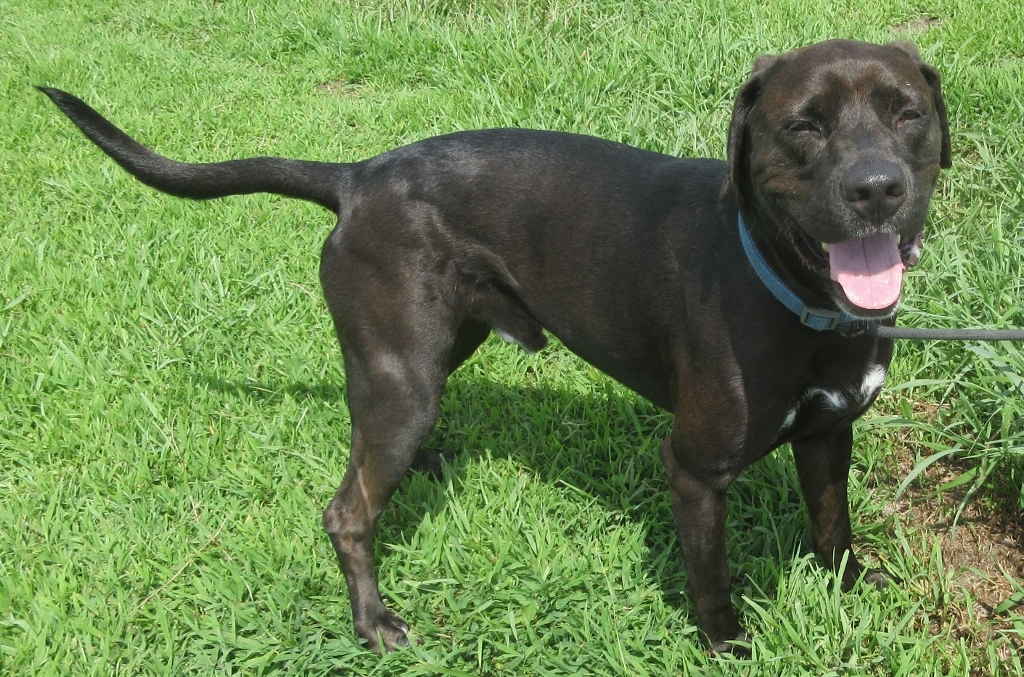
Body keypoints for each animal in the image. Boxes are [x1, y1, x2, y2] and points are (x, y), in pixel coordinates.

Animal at [39, 38, 950, 655]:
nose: (877, 189)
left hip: (435, 350)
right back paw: (373, 621)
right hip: (404, 376)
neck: (796, 297)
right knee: (346, 511)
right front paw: (727, 645)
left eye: (907, 112)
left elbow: (833, 523)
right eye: (803, 125)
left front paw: (852, 589)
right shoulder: (694, 468)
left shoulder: (831, 433)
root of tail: (356, 177)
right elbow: (711, 575)